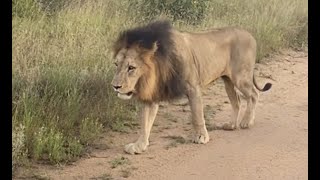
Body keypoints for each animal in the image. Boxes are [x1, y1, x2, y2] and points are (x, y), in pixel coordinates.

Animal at [111, 20, 272, 155]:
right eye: (116, 64)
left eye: (131, 68)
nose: (115, 86)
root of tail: (249, 34)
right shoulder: (152, 95)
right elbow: (145, 122)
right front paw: (139, 145)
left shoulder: (193, 87)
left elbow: (197, 115)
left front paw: (201, 136)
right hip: (227, 80)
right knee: (237, 101)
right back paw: (231, 124)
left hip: (240, 77)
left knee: (254, 95)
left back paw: (246, 122)